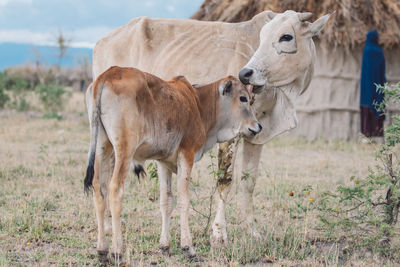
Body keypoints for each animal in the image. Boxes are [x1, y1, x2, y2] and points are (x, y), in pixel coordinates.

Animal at [90, 9, 332, 249]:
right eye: (262, 37)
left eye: (286, 36)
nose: (245, 73)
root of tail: (102, 42)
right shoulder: (230, 136)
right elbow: (225, 181)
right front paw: (218, 233)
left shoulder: (256, 134)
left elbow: (249, 183)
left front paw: (253, 232)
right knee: (107, 177)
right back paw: (109, 229)